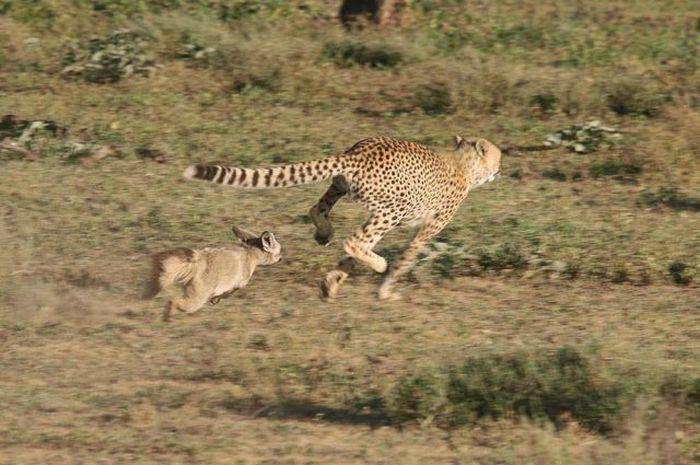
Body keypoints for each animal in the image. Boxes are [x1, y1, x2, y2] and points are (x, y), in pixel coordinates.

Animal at [185, 136, 504, 300]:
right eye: (497, 157)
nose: (500, 170)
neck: (464, 165)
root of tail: (358, 151)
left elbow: (348, 261)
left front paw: (332, 283)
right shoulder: (426, 229)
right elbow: (404, 259)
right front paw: (385, 290)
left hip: (342, 185)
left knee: (320, 211)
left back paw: (324, 234)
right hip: (393, 209)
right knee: (355, 241)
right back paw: (378, 263)